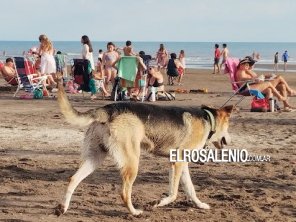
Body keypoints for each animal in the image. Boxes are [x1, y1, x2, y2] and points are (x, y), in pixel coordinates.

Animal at [53, 80, 234, 217]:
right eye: (228, 126)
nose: (229, 141)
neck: (208, 120)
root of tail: (107, 109)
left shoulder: (180, 164)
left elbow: (190, 189)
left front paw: (200, 205)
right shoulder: (177, 163)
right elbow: (173, 193)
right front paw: (158, 203)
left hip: (95, 158)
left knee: (73, 179)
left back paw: (63, 208)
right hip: (132, 163)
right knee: (124, 193)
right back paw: (134, 212)